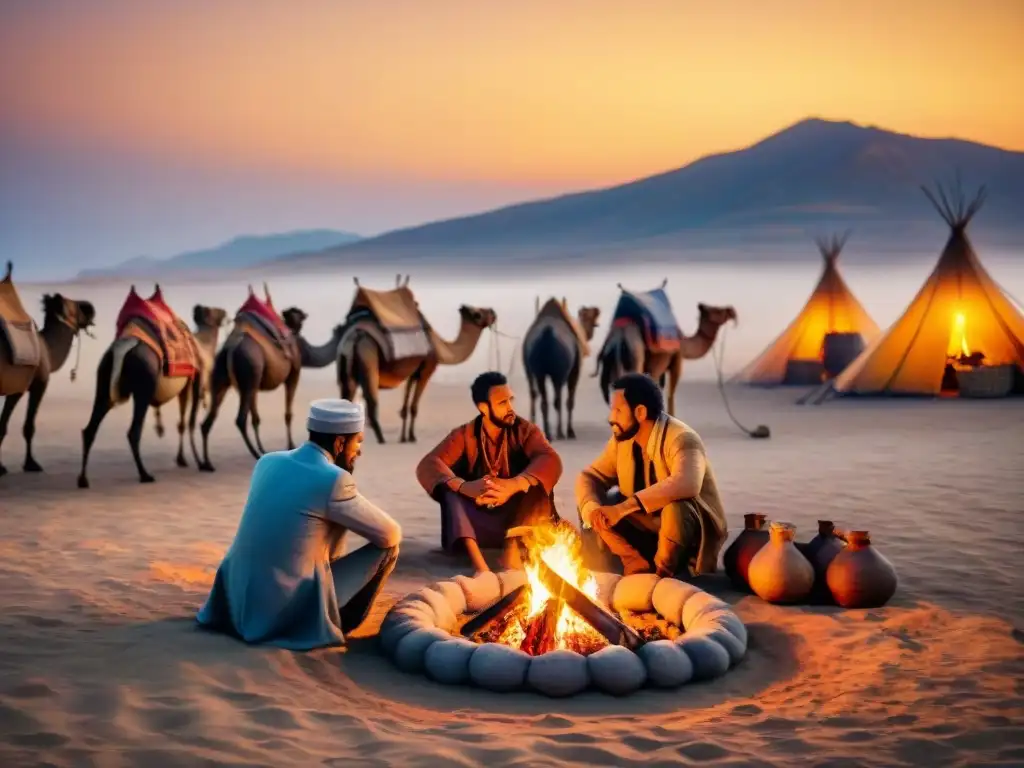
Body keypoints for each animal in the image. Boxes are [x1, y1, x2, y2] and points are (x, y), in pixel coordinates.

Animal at [0, 264, 95, 481]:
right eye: (74, 305)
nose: (90, 306)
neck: (47, 350)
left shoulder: (16, 386)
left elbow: (2, 425)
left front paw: (0, 467)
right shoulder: (38, 382)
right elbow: (29, 426)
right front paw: (31, 464)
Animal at [151, 307, 228, 468]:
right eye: (214, 311)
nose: (224, 312)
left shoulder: (186, 388)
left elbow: (182, 423)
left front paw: (181, 458)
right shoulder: (197, 385)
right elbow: (192, 422)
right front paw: (201, 461)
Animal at [195, 286, 344, 473]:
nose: (343, 326)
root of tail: (231, 348)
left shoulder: (256, 383)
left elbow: (256, 418)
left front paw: (264, 447)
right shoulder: (294, 373)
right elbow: (288, 414)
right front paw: (291, 445)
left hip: (224, 377)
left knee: (208, 421)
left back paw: (207, 463)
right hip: (249, 370)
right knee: (240, 419)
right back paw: (254, 454)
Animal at [524, 296, 598, 442]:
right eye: (590, 318)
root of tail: (546, 335)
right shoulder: (574, 371)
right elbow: (569, 401)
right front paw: (570, 431)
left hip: (535, 370)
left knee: (538, 396)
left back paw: (546, 432)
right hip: (558, 372)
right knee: (557, 400)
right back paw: (560, 433)